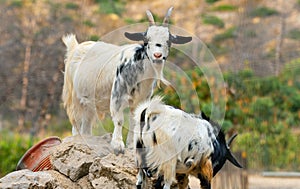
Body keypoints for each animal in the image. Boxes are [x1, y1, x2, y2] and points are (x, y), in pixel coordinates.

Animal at [61, 7, 191, 154]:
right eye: (146, 40)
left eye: (168, 41)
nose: (157, 55)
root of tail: (75, 47)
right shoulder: (117, 95)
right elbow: (119, 120)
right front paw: (117, 145)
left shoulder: (140, 100)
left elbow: (135, 121)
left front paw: (131, 145)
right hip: (73, 97)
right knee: (76, 123)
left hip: (89, 103)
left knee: (86, 126)